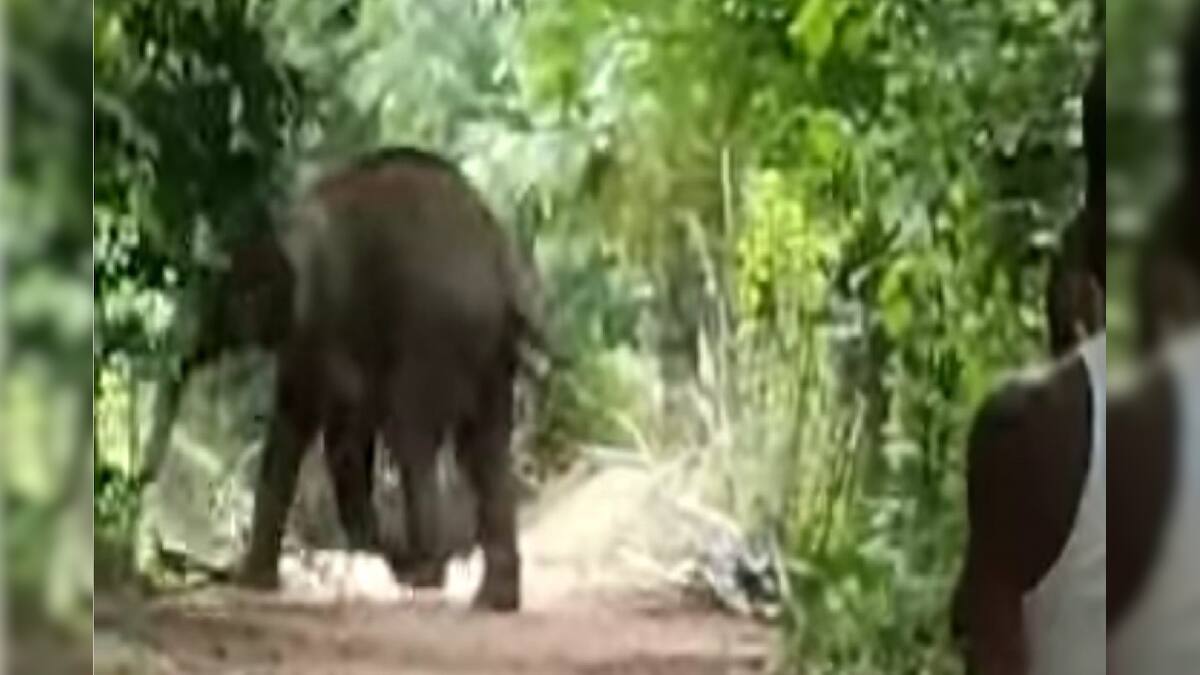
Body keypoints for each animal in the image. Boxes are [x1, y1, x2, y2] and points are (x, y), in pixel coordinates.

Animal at [193, 147, 545, 610]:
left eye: (244, 293)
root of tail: (500, 261)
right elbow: (342, 432)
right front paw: (369, 551)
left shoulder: (318, 323)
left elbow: (308, 421)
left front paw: (252, 582)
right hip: (489, 351)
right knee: (485, 449)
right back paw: (491, 598)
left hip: (435, 331)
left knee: (413, 438)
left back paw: (424, 575)